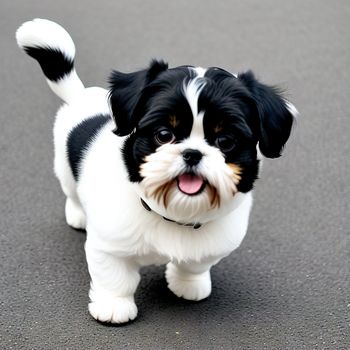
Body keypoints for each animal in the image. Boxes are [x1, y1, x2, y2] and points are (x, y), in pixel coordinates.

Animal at [16, 18, 298, 322]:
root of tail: (79, 95)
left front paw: (189, 284)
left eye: (225, 141)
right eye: (164, 134)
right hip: (64, 168)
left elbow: (195, 264)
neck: (176, 214)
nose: (192, 153)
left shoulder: (213, 244)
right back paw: (78, 214)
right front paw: (114, 305)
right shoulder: (109, 243)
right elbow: (115, 276)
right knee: (71, 190)